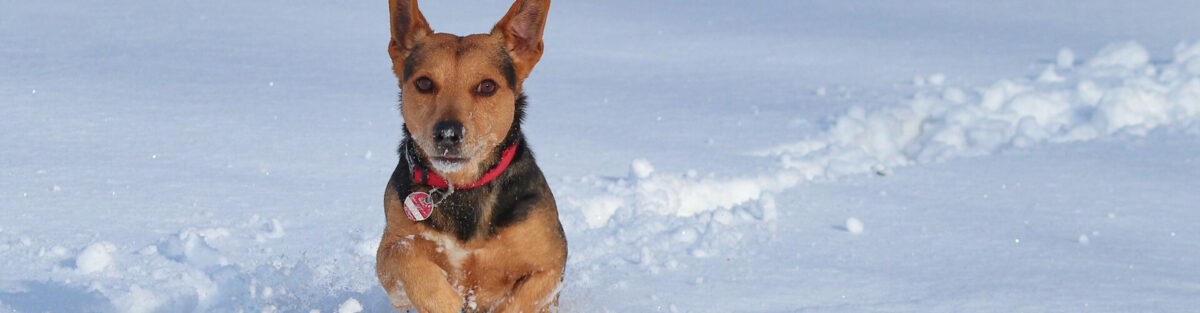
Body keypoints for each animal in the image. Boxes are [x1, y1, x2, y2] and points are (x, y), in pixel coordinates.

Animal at [374, 0, 566, 311]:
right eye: (424, 83)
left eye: (487, 86)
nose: (447, 134)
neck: (465, 188)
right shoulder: (390, 248)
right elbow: (403, 255)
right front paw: (443, 300)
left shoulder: (551, 264)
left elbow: (521, 299)